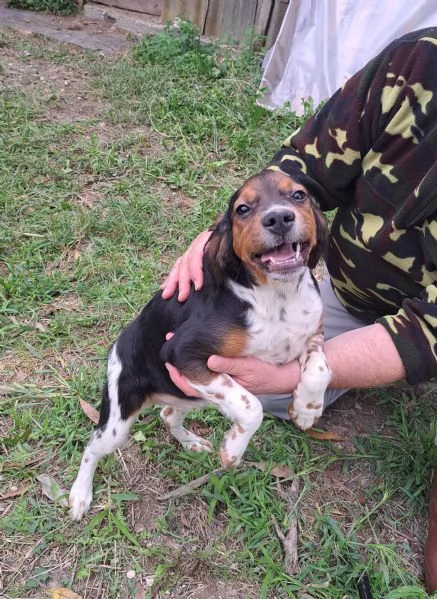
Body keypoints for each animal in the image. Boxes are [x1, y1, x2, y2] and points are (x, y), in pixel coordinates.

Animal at [70, 169, 330, 520]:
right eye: (243, 209)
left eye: (299, 195)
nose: (279, 218)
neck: (278, 296)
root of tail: (117, 345)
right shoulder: (181, 352)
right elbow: (252, 407)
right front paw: (233, 449)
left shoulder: (313, 335)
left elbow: (321, 369)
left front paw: (306, 410)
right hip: (118, 422)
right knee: (91, 447)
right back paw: (79, 495)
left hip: (188, 395)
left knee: (168, 415)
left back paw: (191, 442)